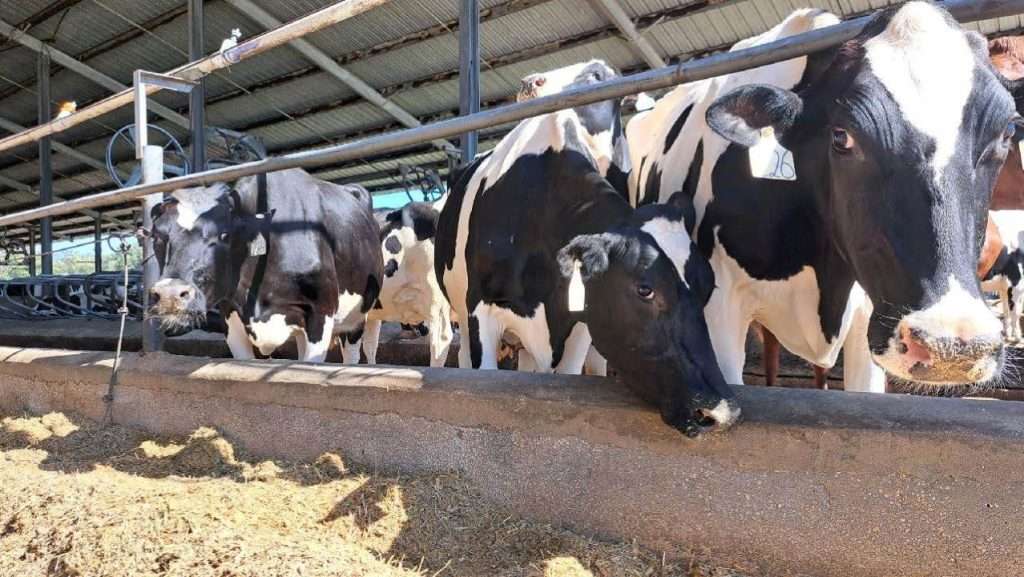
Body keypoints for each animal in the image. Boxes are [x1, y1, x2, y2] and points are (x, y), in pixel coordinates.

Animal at [146, 167, 382, 362]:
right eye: (157, 236)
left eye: (225, 234)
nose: (170, 295)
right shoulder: (231, 315)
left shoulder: (321, 311)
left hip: (357, 315)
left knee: (353, 352)